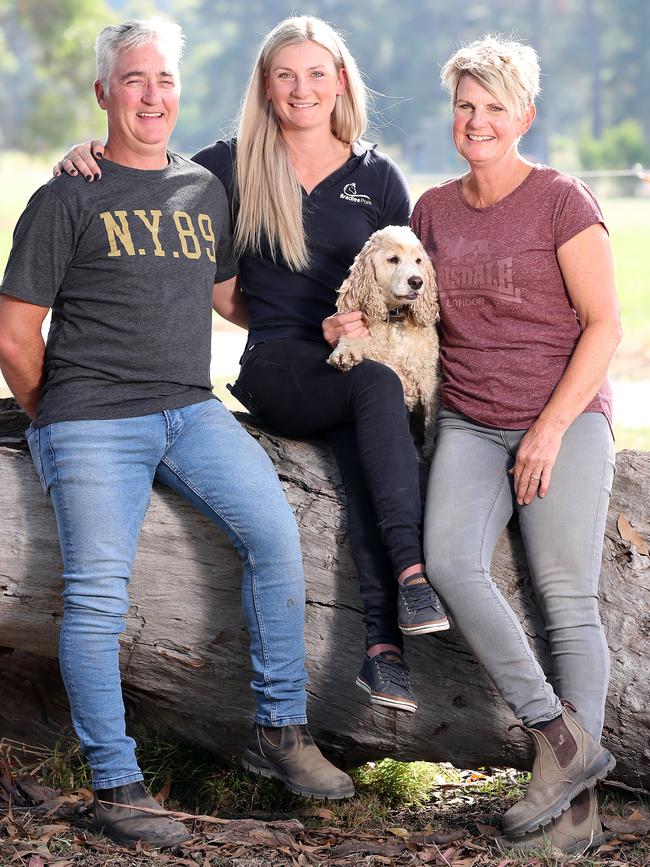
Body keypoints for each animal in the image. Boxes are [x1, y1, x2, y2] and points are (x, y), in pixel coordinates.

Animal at [326, 224, 438, 454]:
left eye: (418, 261)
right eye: (393, 259)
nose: (417, 281)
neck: (394, 320)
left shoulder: (427, 376)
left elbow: (431, 419)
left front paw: (430, 449)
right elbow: (351, 337)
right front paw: (344, 353)